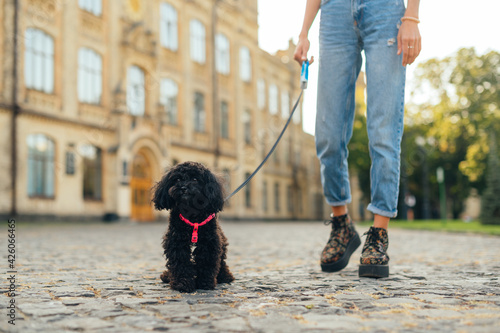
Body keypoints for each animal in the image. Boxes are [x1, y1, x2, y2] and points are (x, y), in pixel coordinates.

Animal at [150, 161, 234, 290]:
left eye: (195, 179)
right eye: (177, 179)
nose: (183, 187)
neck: (192, 213)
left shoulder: (209, 241)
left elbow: (206, 261)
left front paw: (205, 283)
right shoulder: (176, 240)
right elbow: (180, 262)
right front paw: (182, 283)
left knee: (222, 261)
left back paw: (225, 276)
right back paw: (167, 276)